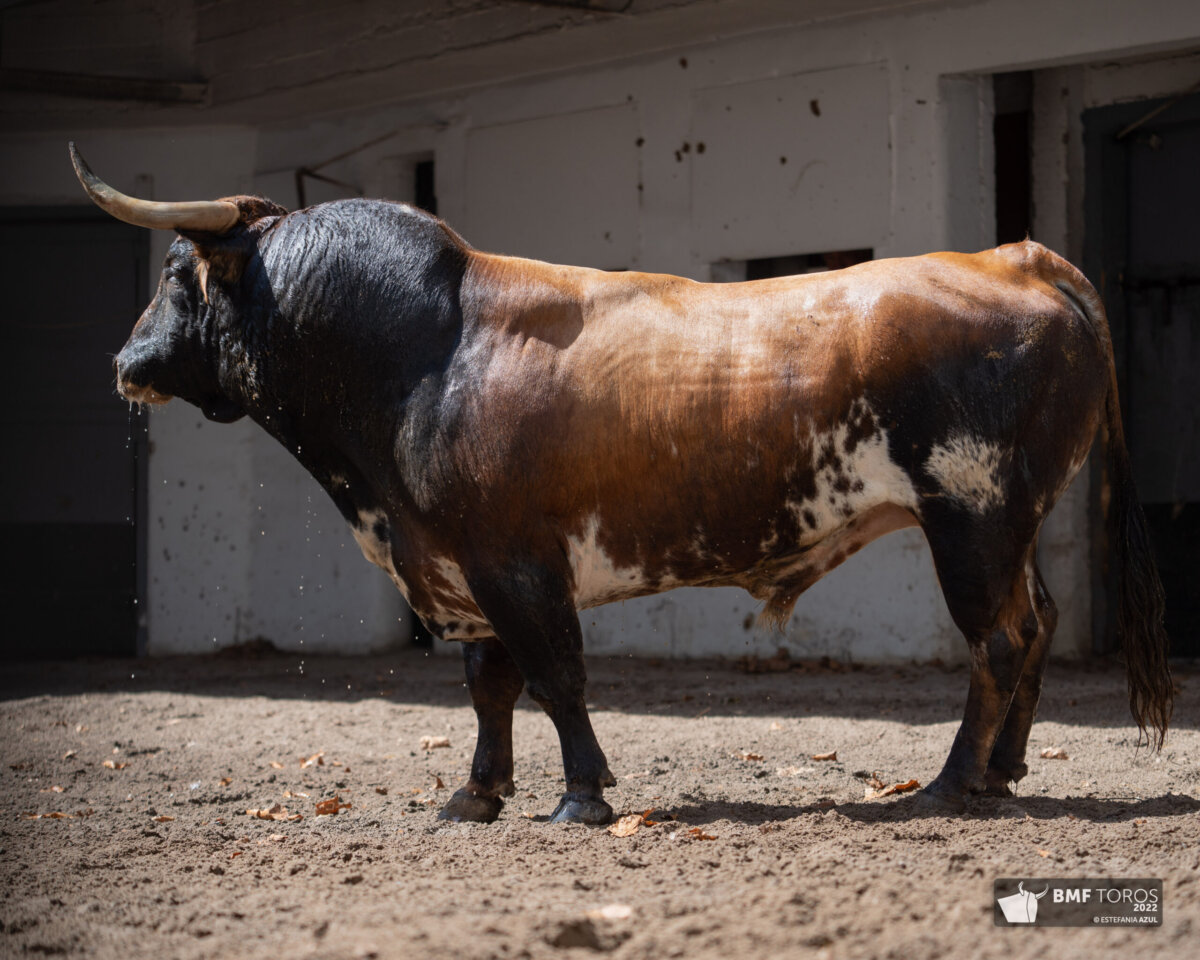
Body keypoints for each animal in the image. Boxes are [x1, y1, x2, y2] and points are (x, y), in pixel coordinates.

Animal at [69, 143, 1172, 824]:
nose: (124, 362)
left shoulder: (514, 563)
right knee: (1037, 622)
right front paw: (476, 795)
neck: (425, 349)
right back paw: (1002, 774)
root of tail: (1012, 256)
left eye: (172, 275)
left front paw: (581, 796)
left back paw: (947, 785)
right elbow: (489, 687)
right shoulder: (465, 568)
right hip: (1007, 522)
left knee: (999, 641)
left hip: (971, 516)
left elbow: (555, 677)